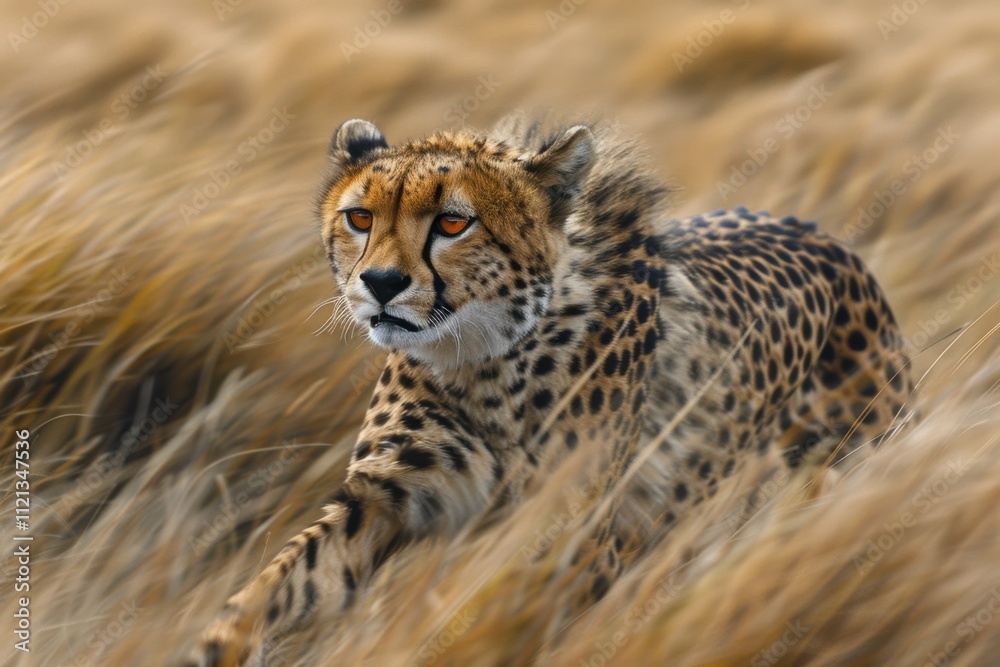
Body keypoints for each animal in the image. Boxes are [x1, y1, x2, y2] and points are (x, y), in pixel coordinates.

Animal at [187, 113, 913, 666]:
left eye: (452, 223)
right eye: (360, 218)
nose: (382, 284)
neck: (485, 358)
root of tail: (817, 230)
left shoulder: (572, 532)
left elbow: (514, 625)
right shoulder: (391, 493)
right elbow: (290, 574)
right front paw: (224, 643)